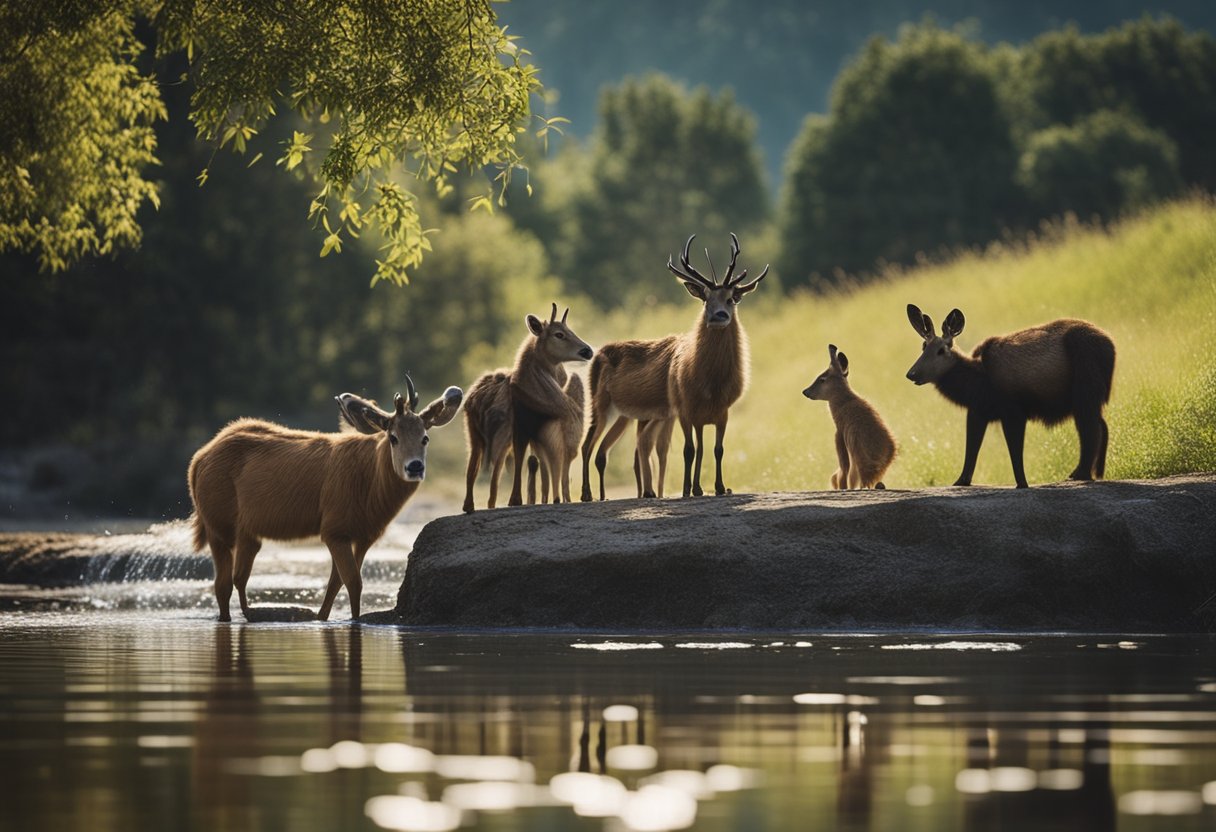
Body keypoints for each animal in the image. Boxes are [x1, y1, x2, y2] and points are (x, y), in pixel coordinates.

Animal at [189, 374, 459, 617]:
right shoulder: (334, 529)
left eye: (425, 438)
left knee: (238, 578)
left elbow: (336, 583)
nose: (414, 467)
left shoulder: (364, 535)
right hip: (217, 525)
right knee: (223, 585)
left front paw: (322, 616)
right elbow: (353, 583)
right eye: (393, 437)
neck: (371, 487)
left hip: (247, 533)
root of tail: (198, 461)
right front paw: (353, 620)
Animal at [581, 231, 768, 496]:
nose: (719, 316)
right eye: (705, 299)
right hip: (599, 402)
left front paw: (718, 487)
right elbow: (689, 450)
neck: (712, 384)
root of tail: (598, 354)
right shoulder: (685, 408)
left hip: (626, 414)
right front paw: (689, 489)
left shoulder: (721, 412)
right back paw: (586, 494)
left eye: (732, 299)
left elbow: (715, 450)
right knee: (587, 444)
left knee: (606, 449)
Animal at [909, 304, 1113, 486]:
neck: (975, 384)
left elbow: (1014, 450)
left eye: (941, 350)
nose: (911, 373)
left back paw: (1081, 474)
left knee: (1090, 429)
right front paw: (961, 481)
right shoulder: (978, 410)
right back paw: (1093, 473)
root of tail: (1111, 348)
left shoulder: (1013, 411)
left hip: (1086, 389)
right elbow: (972, 447)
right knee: (1102, 426)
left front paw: (1022, 484)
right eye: (923, 346)